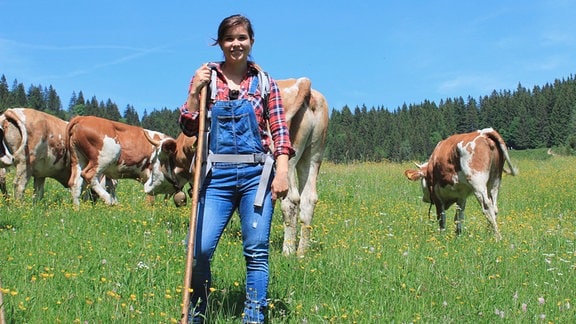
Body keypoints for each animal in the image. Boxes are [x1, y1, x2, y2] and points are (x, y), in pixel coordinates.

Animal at [158, 77, 328, 256]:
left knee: (291, 200)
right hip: (313, 156)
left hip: (287, 160)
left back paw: (287, 251)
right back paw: (302, 252)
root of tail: (302, 83)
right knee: (308, 199)